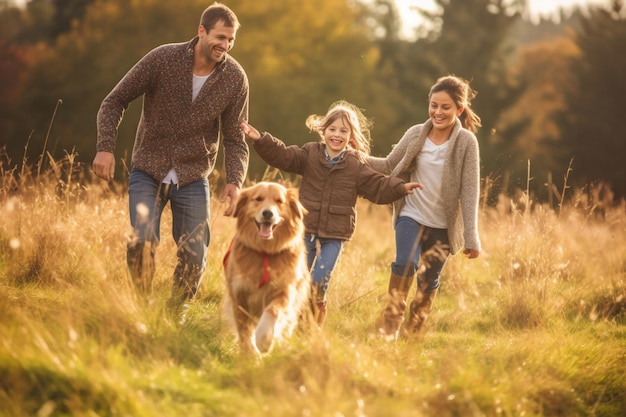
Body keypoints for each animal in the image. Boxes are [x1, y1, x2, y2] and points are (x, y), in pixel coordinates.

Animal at [222, 181, 310, 354]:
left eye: (279, 201)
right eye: (258, 199)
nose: (268, 213)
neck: (265, 252)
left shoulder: (284, 291)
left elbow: (272, 311)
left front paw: (264, 339)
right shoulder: (238, 294)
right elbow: (244, 329)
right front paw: (251, 353)